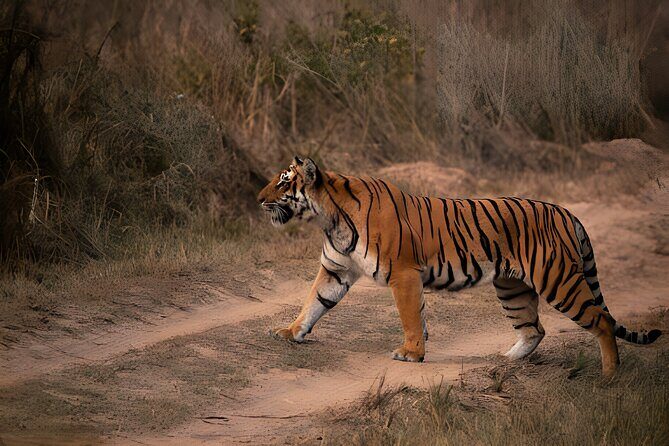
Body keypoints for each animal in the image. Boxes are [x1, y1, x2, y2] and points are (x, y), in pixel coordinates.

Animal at [257, 157, 661, 377]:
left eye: (283, 183)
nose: (258, 199)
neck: (329, 217)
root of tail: (566, 211)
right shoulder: (336, 270)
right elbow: (314, 303)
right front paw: (290, 332)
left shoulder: (403, 273)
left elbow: (409, 316)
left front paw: (411, 353)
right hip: (512, 287)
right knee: (534, 328)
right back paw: (505, 360)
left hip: (558, 280)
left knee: (602, 321)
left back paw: (609, 376)